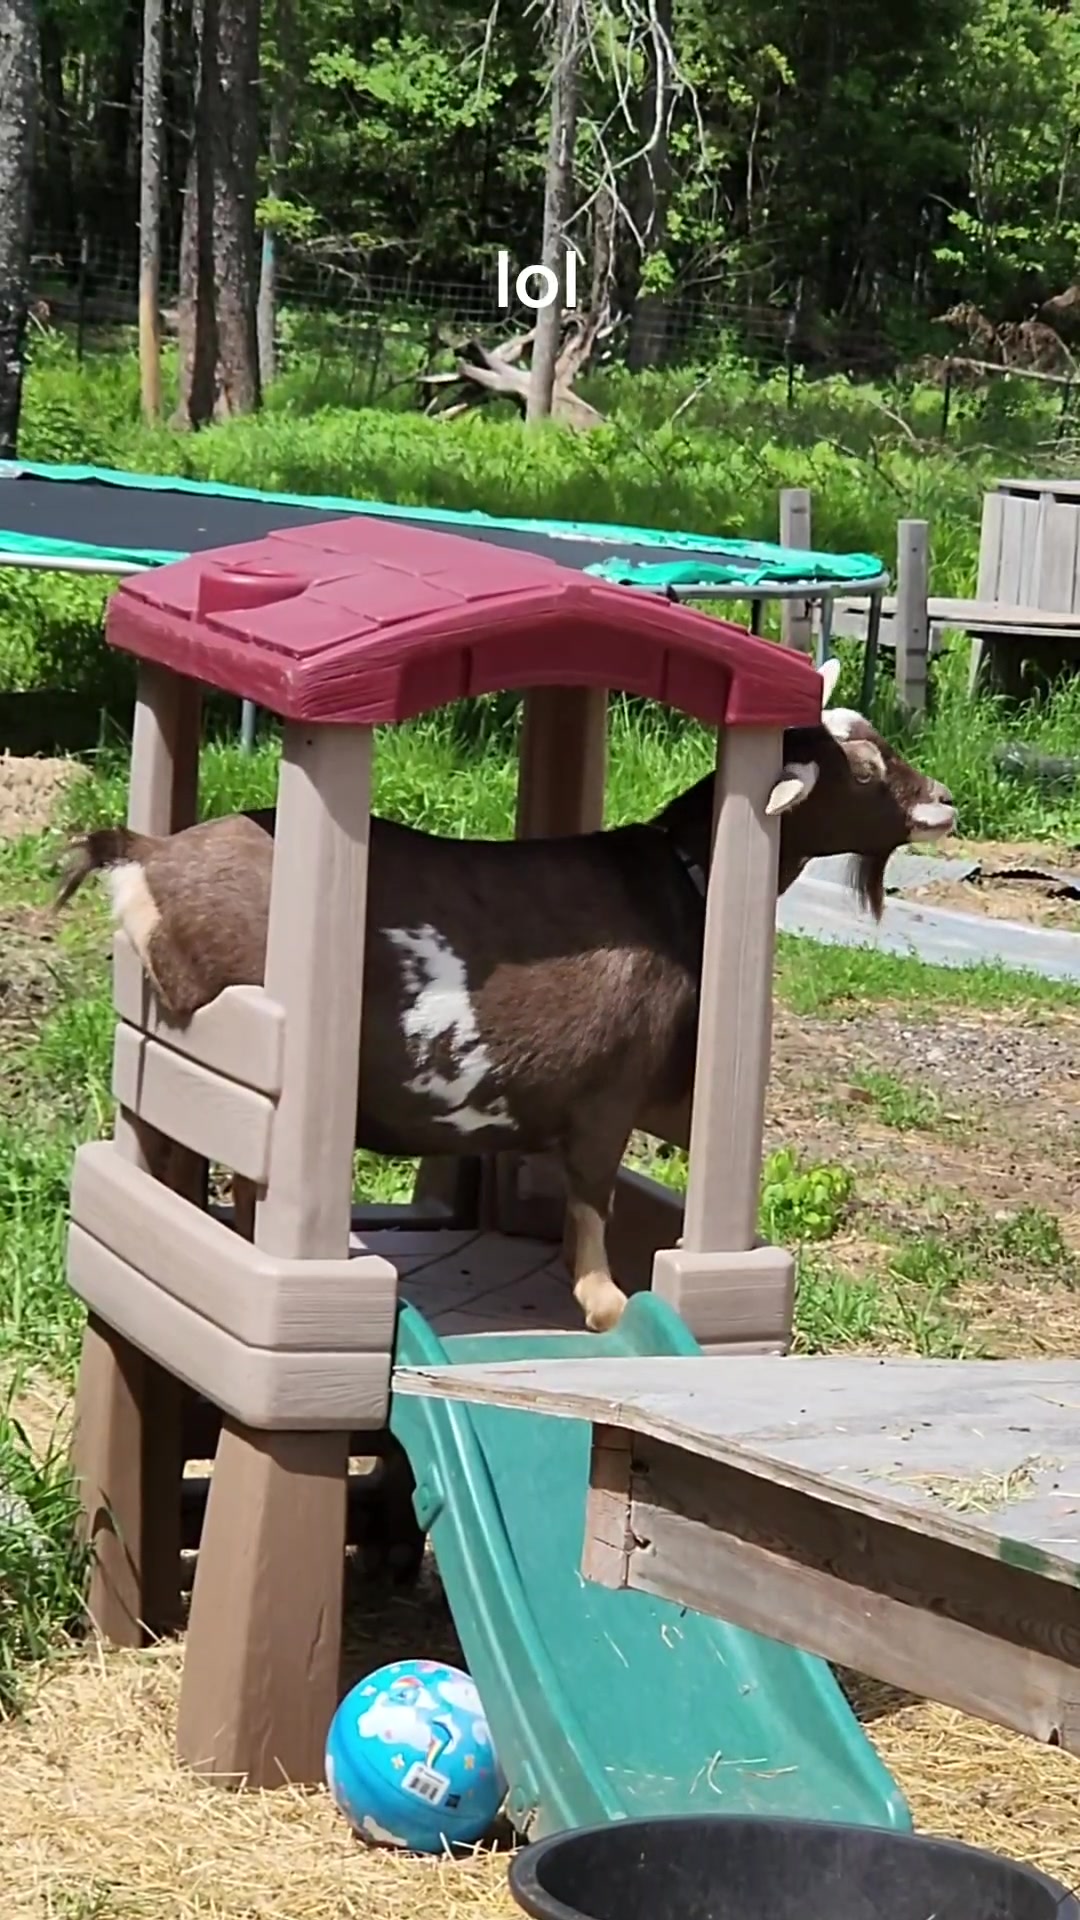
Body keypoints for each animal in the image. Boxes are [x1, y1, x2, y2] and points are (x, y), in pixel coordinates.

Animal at [56, 661, 955, 1332]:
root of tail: (146, 855)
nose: (944, 800)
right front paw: (606, 1302)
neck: (681, 884)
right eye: (865, 769)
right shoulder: (609, 1088)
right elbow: (592, 1190)